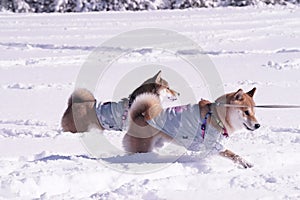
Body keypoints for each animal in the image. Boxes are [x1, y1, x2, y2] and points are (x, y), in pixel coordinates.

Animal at [123, 88, 260, 168]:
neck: (217, 116)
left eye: (254, 112)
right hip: (142, 147)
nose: (258, 125)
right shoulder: (212, 144)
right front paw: (246, 163)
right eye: (246, 112)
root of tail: (139, 116)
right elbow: (233, 155)